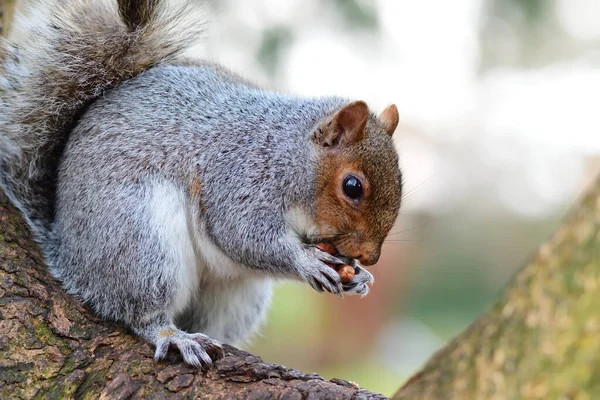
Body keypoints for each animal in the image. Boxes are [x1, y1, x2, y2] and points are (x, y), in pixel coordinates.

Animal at [1, 0, 404, 368]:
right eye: (352, 186)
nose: (371, 256)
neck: (286, 153)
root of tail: (65, 249)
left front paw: (360, 278)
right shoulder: (238, 176)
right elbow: (243, 235)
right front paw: (307, 263)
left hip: (236, 295)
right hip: (139, 243)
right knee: (140, 311)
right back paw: (172, 335)